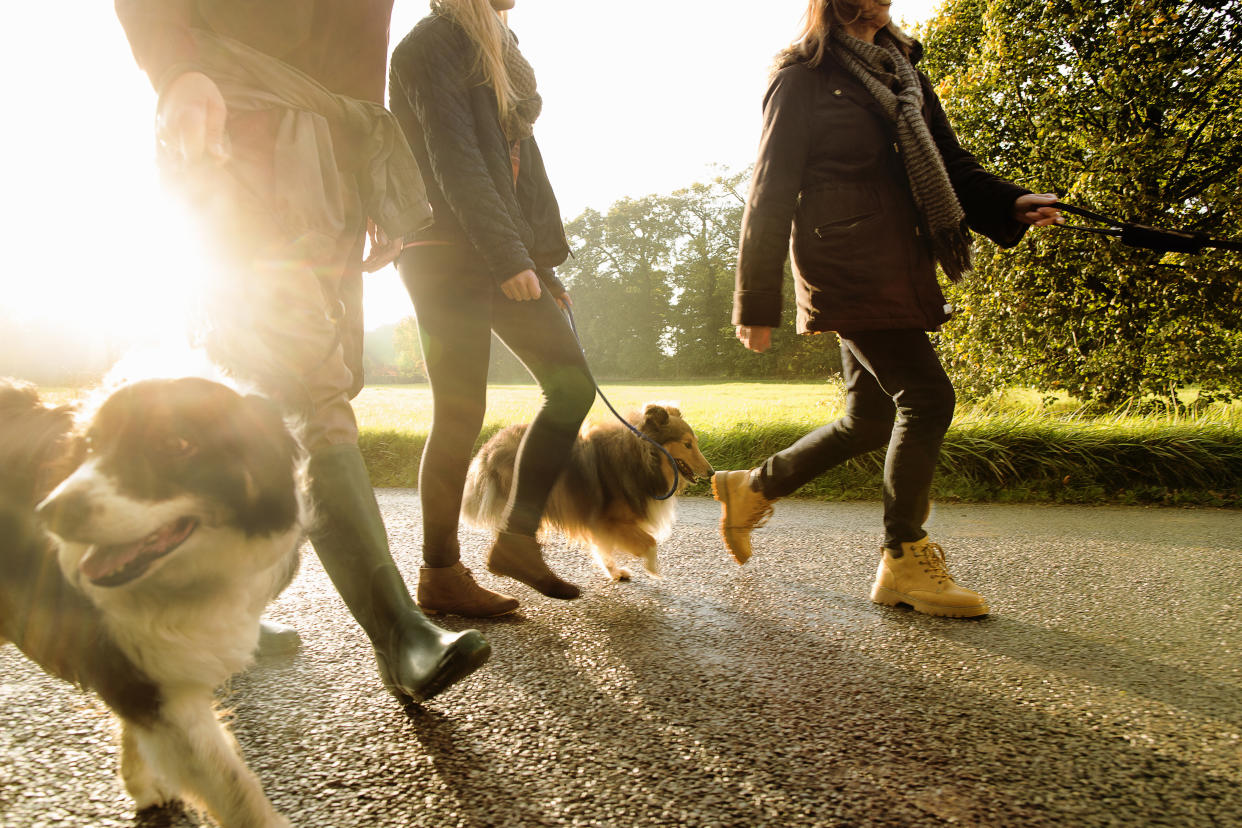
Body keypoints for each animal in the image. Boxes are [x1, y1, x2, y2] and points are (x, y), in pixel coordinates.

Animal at [1, 377, 306, 828]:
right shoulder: (142, 675)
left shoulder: (150, 662)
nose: (48, 513)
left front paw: (139, 782)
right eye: (91, 444)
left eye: (175, 443)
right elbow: (233, 787)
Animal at [462, 404, 715, 580]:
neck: (642, 457)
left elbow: (603, 549)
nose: (712, 472)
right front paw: (653, 569)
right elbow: (650, 542)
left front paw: (615, 572)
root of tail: (489, 446)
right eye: (687, 444)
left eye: (695, 442)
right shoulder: (609, 520)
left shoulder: (599, 523)